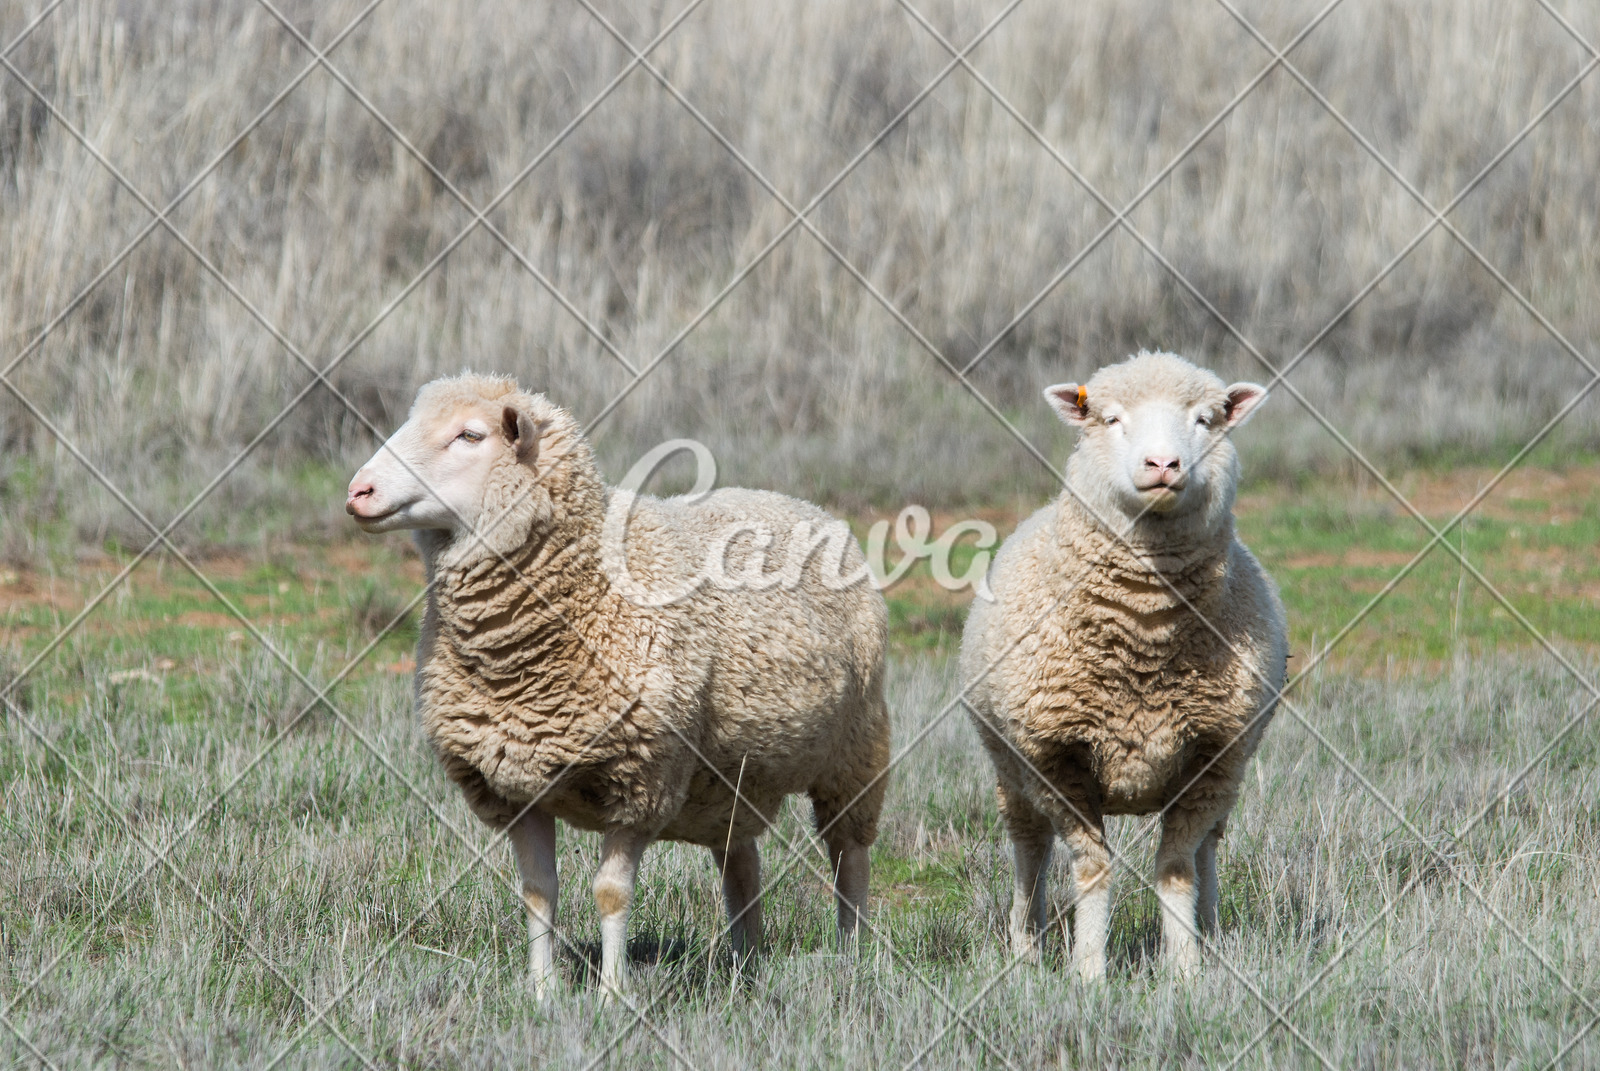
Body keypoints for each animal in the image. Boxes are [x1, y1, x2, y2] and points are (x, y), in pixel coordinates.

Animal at [347, 374, 889, 992]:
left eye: (470, 435)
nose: (358, 491)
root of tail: (806, 505)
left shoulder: (640, 780)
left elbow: (610, 894)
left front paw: (611, 994)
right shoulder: (516, 787)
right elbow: (538, 893)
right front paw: (541, 993)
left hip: (856, 750)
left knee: (849, 857)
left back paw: (852, 955)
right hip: (728, 779)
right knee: (742, 865)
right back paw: (745, 967)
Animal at [960, 350, 1286, 979]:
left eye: (1206, 420)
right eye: (1110, 419)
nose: (1163, 462)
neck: (1145, 642)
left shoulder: (1214, 756)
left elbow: (1177, 867)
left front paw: (1185, 968)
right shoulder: (1055, 759)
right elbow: (1092, 871)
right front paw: (1089, 971)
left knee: (1209, 849)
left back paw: (1211, 930)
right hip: (1010, 767)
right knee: (1031, 849)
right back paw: (1026, 946)